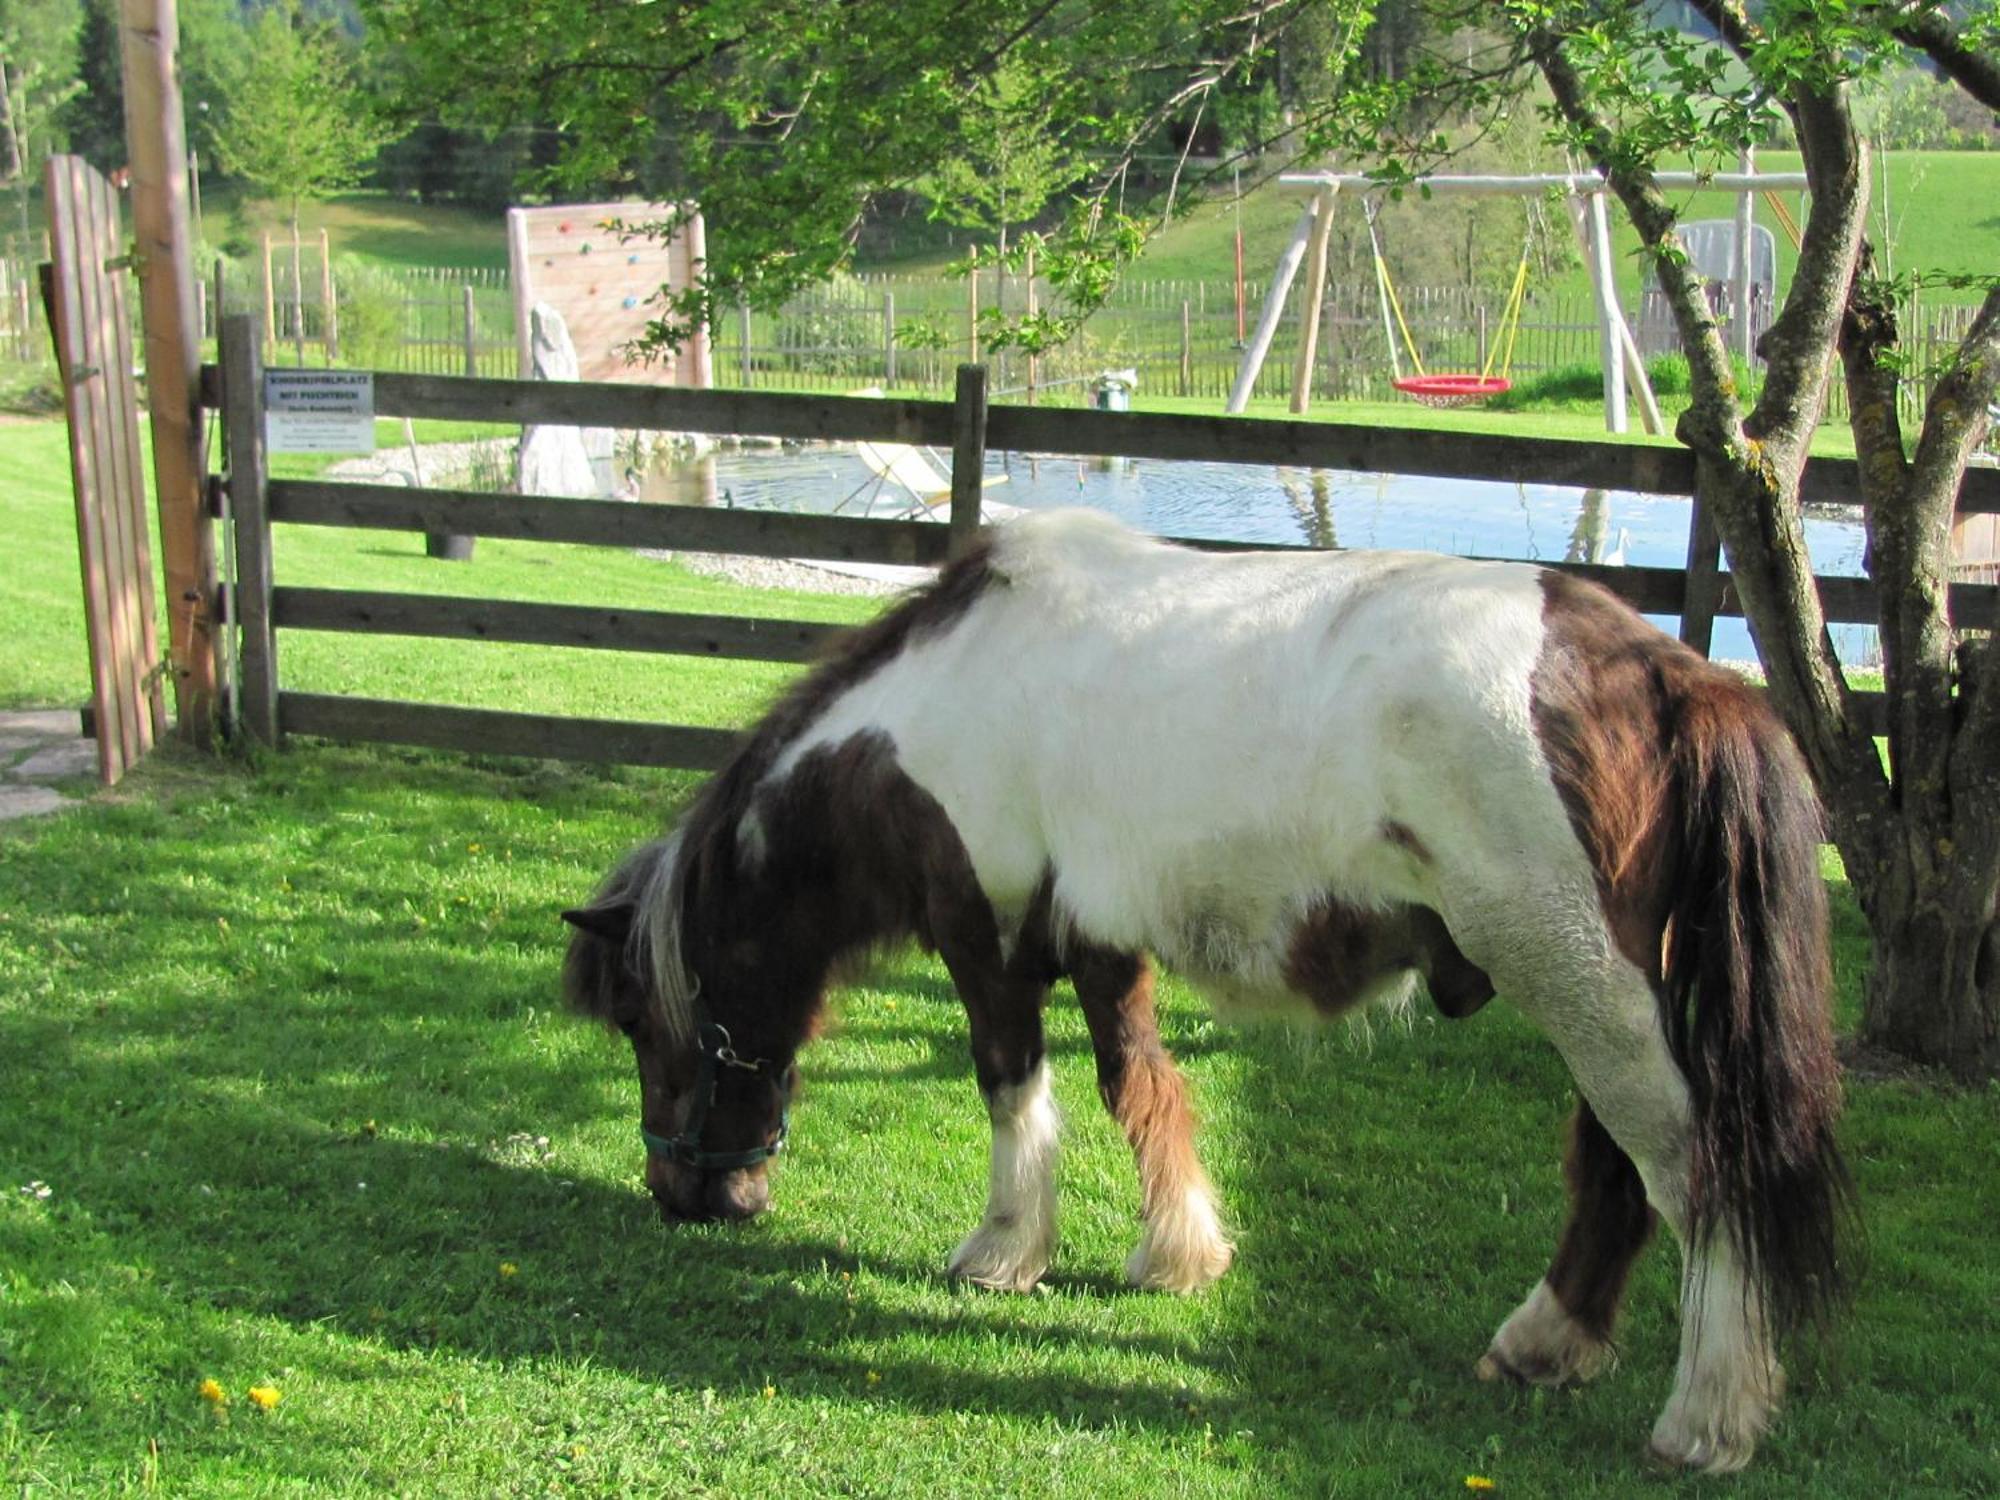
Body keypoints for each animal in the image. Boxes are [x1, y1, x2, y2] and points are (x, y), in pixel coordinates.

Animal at [560, 512, 1840, 1472]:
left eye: (641, 1024)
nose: (686, 1196)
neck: (942, 697)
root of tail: (1667, 673)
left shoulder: (988, 941)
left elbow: (1010, 1090)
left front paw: (1002, 1252)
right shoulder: (1096, 943)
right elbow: (1139, 1085)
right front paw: (1178, 1252)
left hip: (1583, 990)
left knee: (1689, 1173)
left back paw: (1705, 1417)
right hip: (1598, 997)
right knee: (1616, 1176)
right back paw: (1546, 1344)